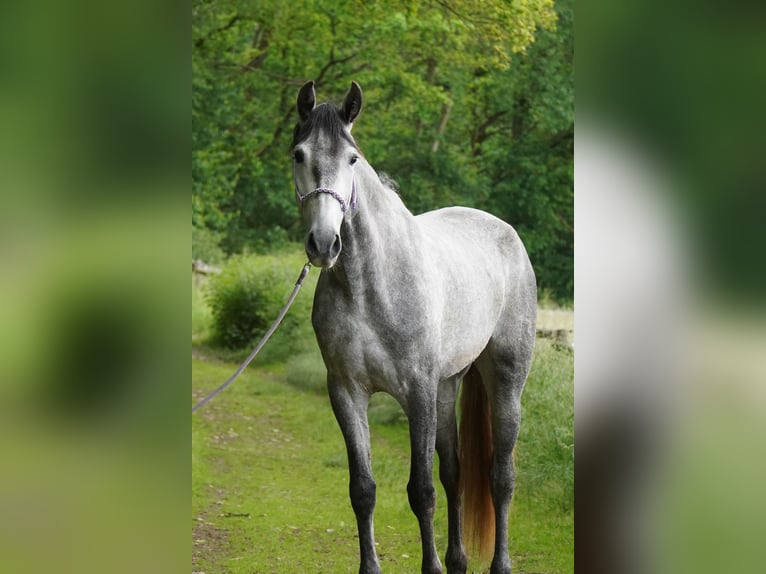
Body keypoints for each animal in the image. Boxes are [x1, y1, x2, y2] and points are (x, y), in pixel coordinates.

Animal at [290, 80, 537, 574]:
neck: (370, 284)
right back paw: (459, 560)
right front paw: (371, 567)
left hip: (505, 382)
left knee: (500, 477)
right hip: (448, 386)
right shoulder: (346, 391)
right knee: (455, 474)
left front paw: (432, 567)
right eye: (299, 154)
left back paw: (499, 563)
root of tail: (507, 234)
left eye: (352, 159)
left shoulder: (417, 390)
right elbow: (363, 490)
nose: (324, 244)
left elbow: (421, 491)